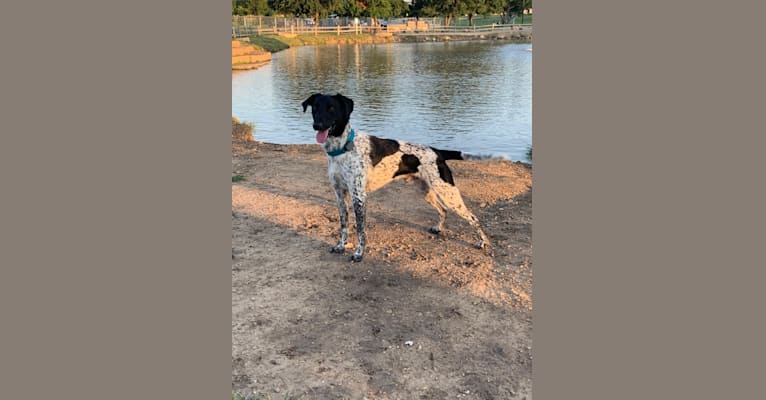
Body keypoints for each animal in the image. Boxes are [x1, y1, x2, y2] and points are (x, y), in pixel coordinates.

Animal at [304, 93, 488, 262]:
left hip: (449, 194)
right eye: (315, 108)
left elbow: (360, 229)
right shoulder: (340, 194)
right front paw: (341, 246)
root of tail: (437, 152)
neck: (342, 148)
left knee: (473, 218)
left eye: (331, 108)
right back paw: (438, 228)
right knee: (443, 210)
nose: (316, 125)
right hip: (427, 192)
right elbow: (344, 225)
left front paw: (359, 253)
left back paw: (482, 242)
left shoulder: (359, 196)